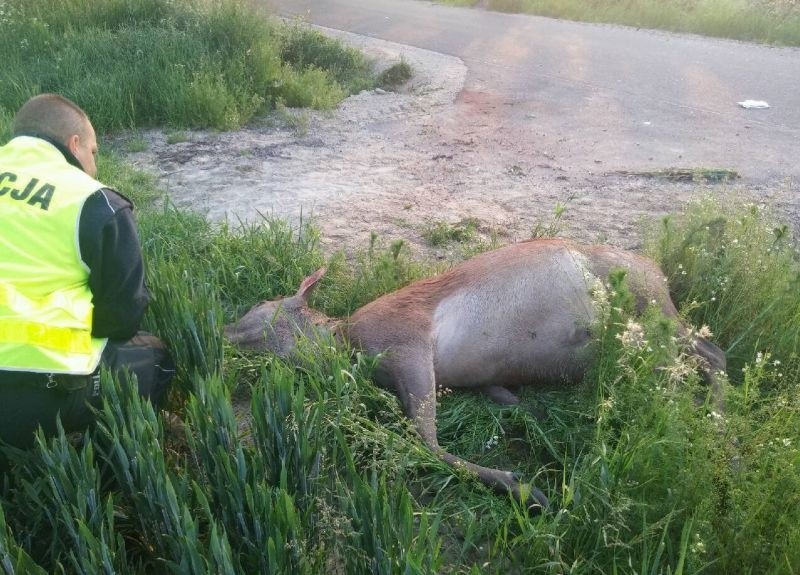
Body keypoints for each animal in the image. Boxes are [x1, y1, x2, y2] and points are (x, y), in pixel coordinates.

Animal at [223, 237, 724, 508]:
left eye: (262, 307)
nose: (222, 329)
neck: (346, 341)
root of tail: (660, 271)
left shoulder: (409, 345)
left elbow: (424, 441)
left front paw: (526, 489)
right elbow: (489, 403)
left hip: (651, 313)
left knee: (710, 352)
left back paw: (716, 428)